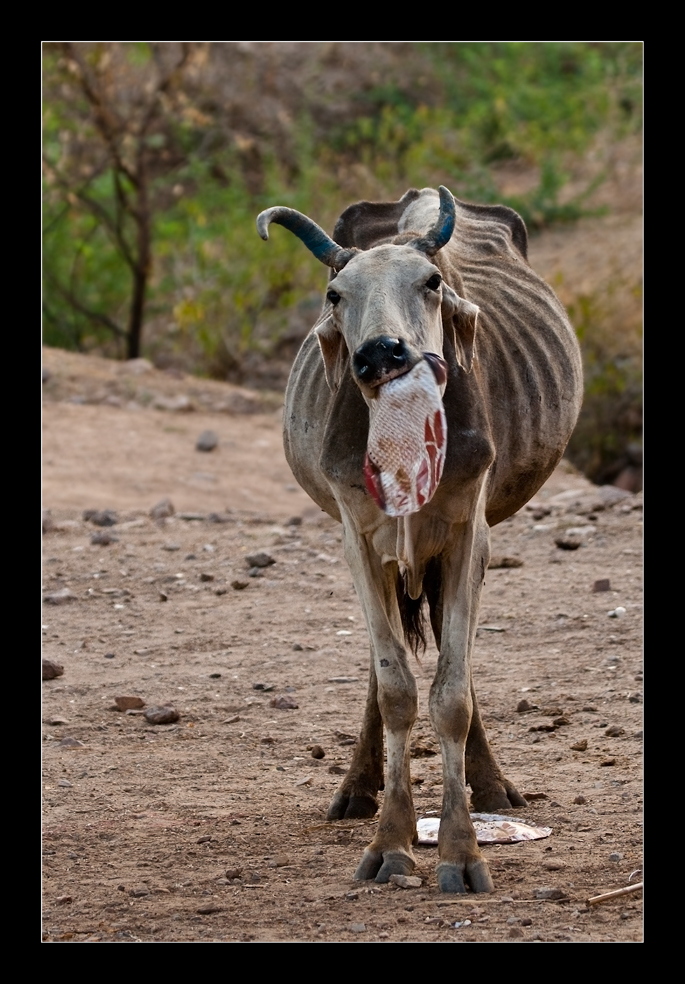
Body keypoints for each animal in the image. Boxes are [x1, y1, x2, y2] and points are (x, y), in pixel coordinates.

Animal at [256, 184, 584, 892]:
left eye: (430, 283)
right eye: (335, 293)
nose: (383, 353)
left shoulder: (468, 537)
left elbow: (451, 695)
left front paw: (461, 849)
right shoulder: (358, 539)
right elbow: (397, 688)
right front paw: (392, 841)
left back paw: (492, 787)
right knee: (384, 673)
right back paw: (357, 789)